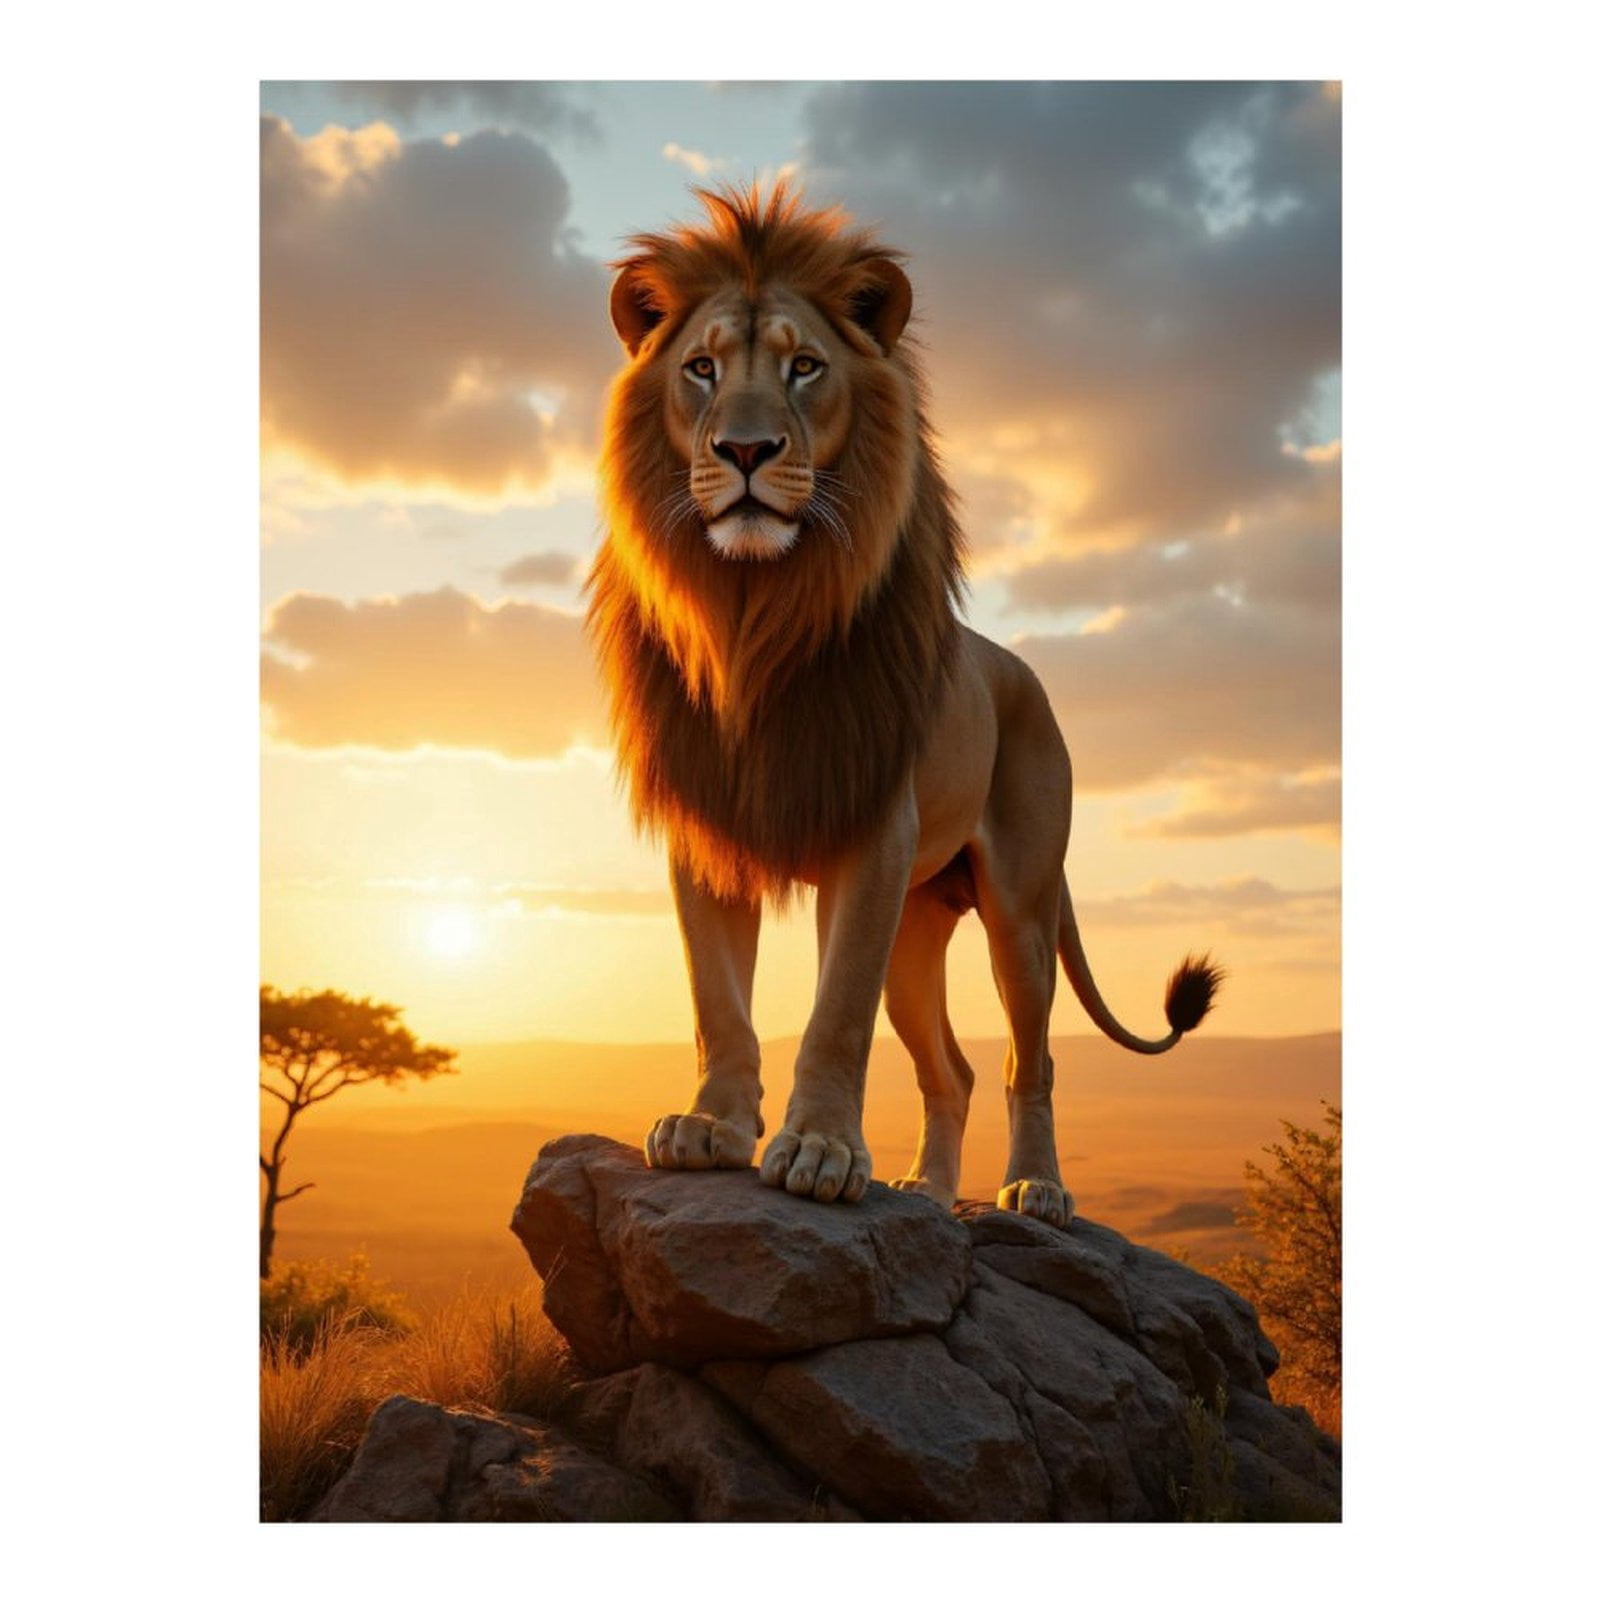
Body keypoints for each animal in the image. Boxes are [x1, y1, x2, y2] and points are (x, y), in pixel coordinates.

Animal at [585, 184, 1221, 1227]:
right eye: (700, 369)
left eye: (804, 367)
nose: (746, 449)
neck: (752, 613)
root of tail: (1020, 670)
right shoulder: (709, 832)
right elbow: (718, 1000)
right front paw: (711, 1127)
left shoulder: (874, 836)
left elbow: (834, 1014)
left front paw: (820, 1153)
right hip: (920, 930)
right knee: (949, 1070)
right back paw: (923, 1190)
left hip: (1020, 909)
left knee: (1026, 1062)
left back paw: (1035, 1190)